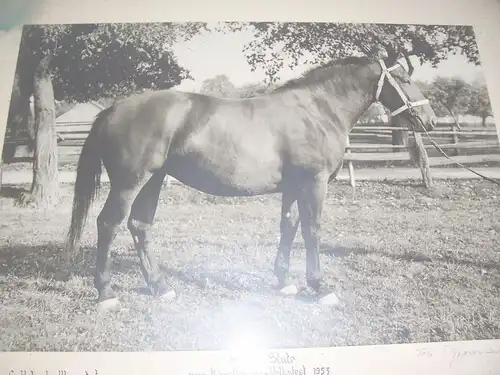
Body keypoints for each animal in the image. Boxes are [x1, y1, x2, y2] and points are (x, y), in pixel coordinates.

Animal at [67, 43, 438, 312]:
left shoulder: (293, 187)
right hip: (130, 183)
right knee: (109, 225)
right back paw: (106, 294)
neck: (315, 110)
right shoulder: (313, 184)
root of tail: (113, 109)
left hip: (153, 181)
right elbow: (312, 230)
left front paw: (284, 281)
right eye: (405, 79)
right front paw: (319, 287)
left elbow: (289, 226)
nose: (430, 120)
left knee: (140, 226)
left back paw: (160, 287)